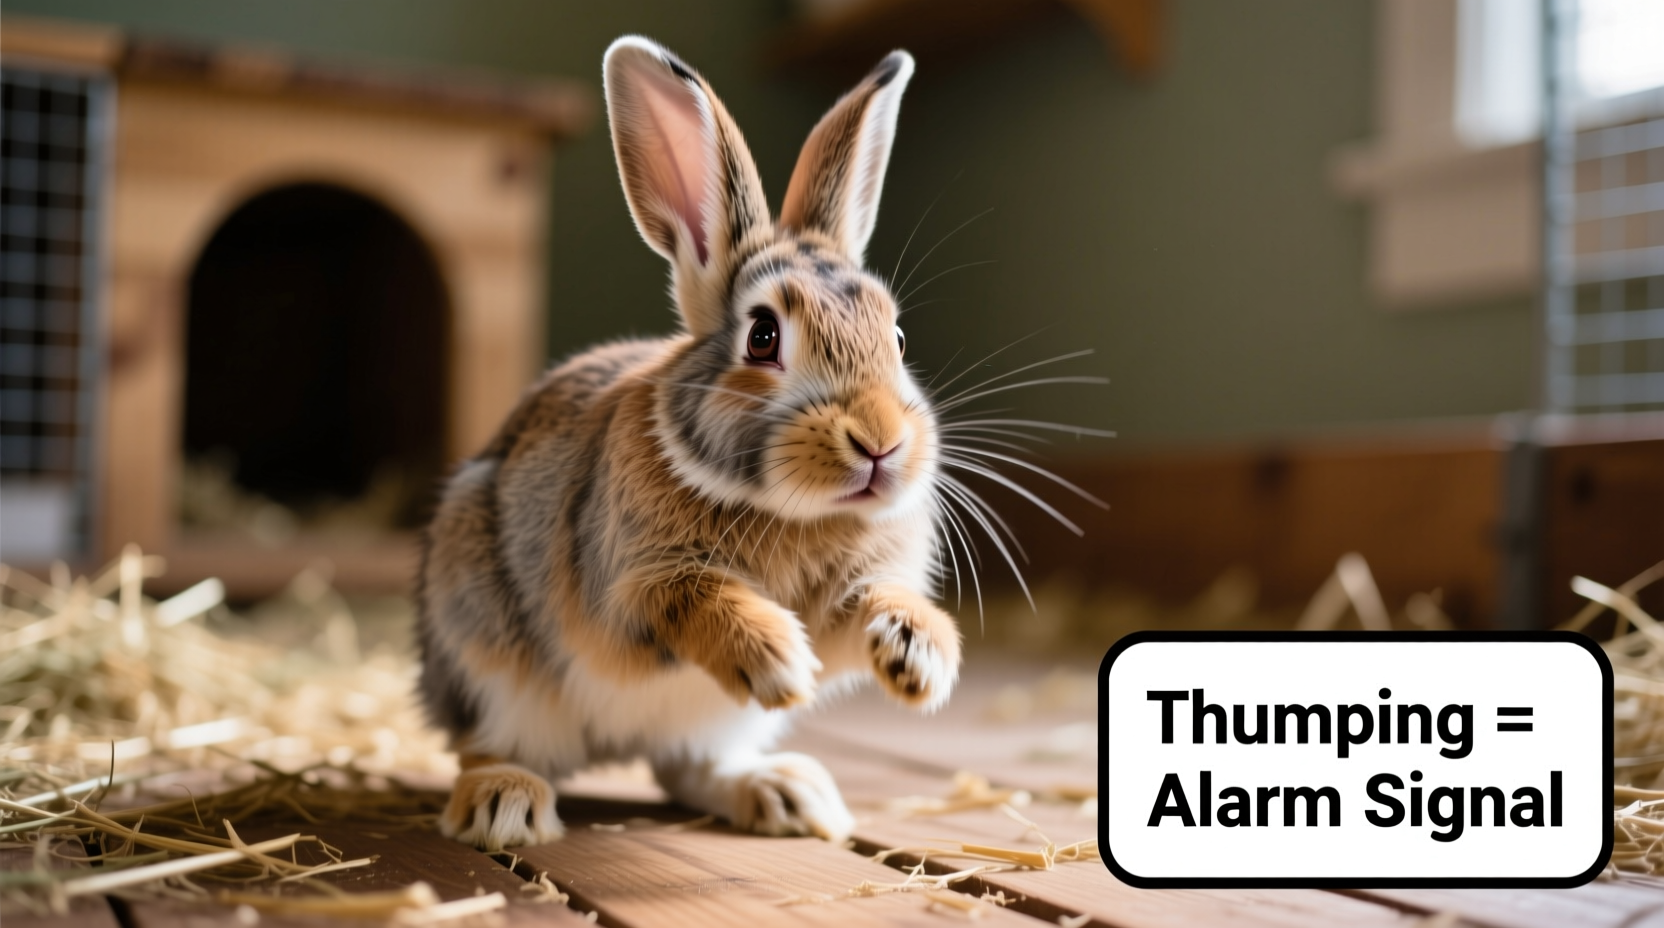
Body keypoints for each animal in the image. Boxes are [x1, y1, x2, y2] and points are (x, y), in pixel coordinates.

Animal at [415, 35, 961, 852]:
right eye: (763, 336)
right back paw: (504, 804)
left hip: (712, 724)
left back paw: (785, 793)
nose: (881, 443)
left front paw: (919, 657)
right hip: (483, 647)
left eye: (895, 339)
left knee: (688, 769)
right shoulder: (628, 587)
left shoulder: (854, 592)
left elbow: (866, 610)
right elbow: (694, 597)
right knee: (488, 744)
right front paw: (776, 657)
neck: (792, 509)